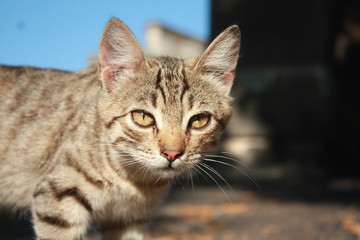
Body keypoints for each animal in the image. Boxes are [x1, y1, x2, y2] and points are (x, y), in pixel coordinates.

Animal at [0, 17, 242, 239]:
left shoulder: (130, 219)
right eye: (142, 117)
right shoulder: (58, 198)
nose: (172, 153)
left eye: (200, 120)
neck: (134, 181)